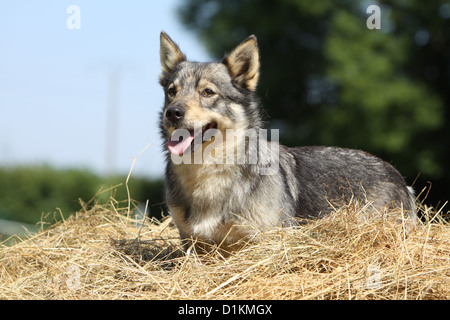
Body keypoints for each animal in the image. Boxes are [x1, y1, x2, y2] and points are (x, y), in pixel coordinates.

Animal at [158, 31, 418, 254]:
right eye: (172, 91)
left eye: (208, 92)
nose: (173, 113)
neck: (206, 174)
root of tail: (398, 176)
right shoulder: (192, 243)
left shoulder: (265, 239)